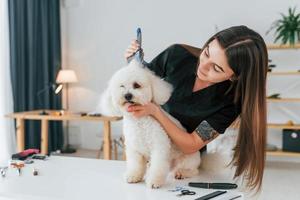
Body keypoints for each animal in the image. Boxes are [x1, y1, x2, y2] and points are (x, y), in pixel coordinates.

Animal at [101, 60, 202, 188]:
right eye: (121, 86)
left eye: (136, 85)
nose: (127, 95)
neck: (139, 122)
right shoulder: (134, 149)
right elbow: (135, 165)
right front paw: (133, 176)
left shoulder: (159, 147)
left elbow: (157, 167)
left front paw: (155, 181)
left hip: (187, 159)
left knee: (193, 170)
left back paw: (182, 173)